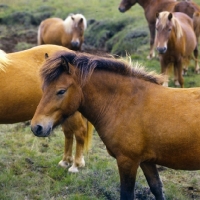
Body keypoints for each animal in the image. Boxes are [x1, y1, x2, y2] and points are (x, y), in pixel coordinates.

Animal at [30, 50, 200, 200]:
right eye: (43, 88)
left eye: (61, 91)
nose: (36, 127)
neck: (125, 103)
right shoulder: (147, 161)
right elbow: (157, 188)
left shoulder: (127, 161)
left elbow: (126, 194)